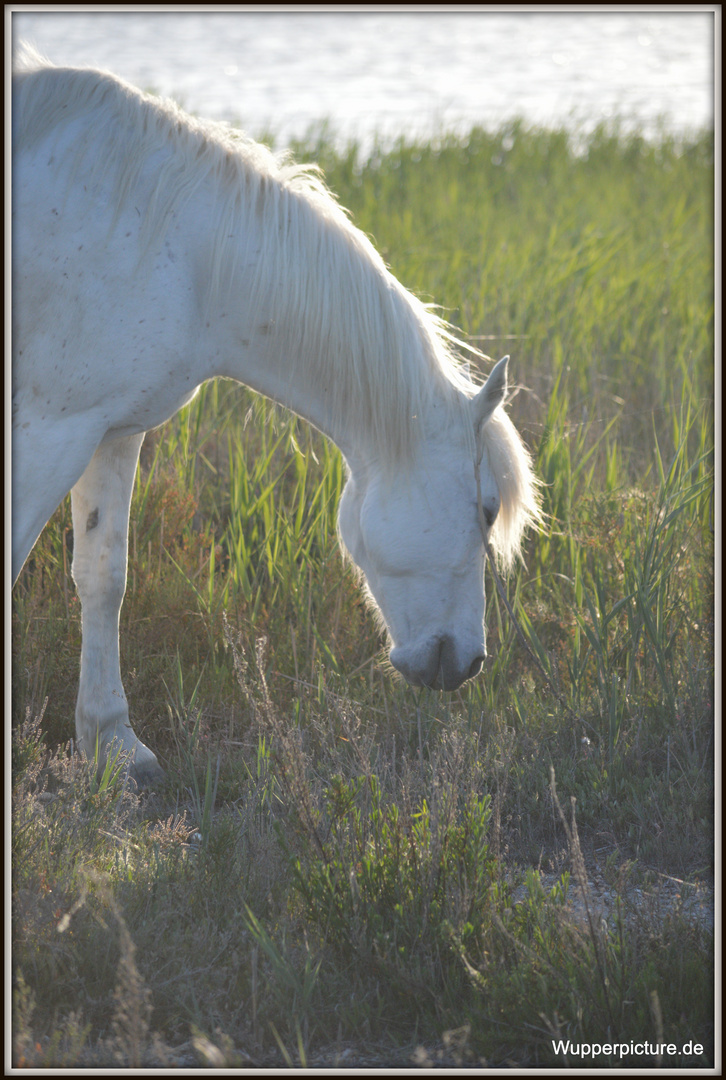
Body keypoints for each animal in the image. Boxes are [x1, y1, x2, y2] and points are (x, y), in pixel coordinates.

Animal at [9, 48, 538, 786]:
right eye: (487, 510)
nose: (465, 663)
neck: (181, 248)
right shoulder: (52, 428)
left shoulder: (110, 430)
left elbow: (103, 576)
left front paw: (114, 746)